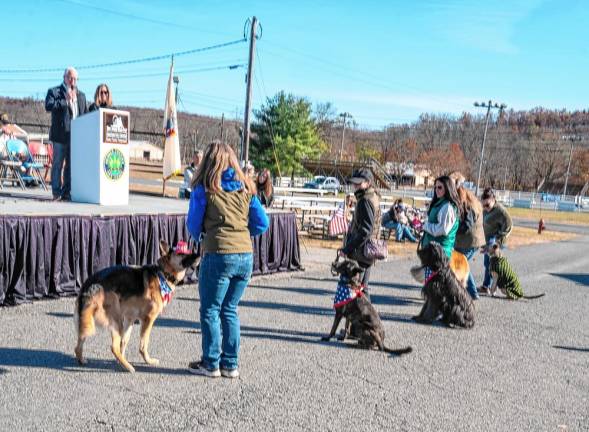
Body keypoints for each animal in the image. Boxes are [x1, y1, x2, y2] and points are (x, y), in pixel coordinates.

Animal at [72, 240, 198, 372]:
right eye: (181, 253)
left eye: (188, 250)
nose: (199, 255)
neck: (164, 273)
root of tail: (90, 285)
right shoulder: (148, 319)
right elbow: (143, 343)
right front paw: (148, 360)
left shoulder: (130, 319)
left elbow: (124, 341)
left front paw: (120, 361)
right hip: (116, 320)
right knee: (113, 347)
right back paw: (129, 367)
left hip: (88, 321)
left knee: (78, 345)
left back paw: (84, 360)